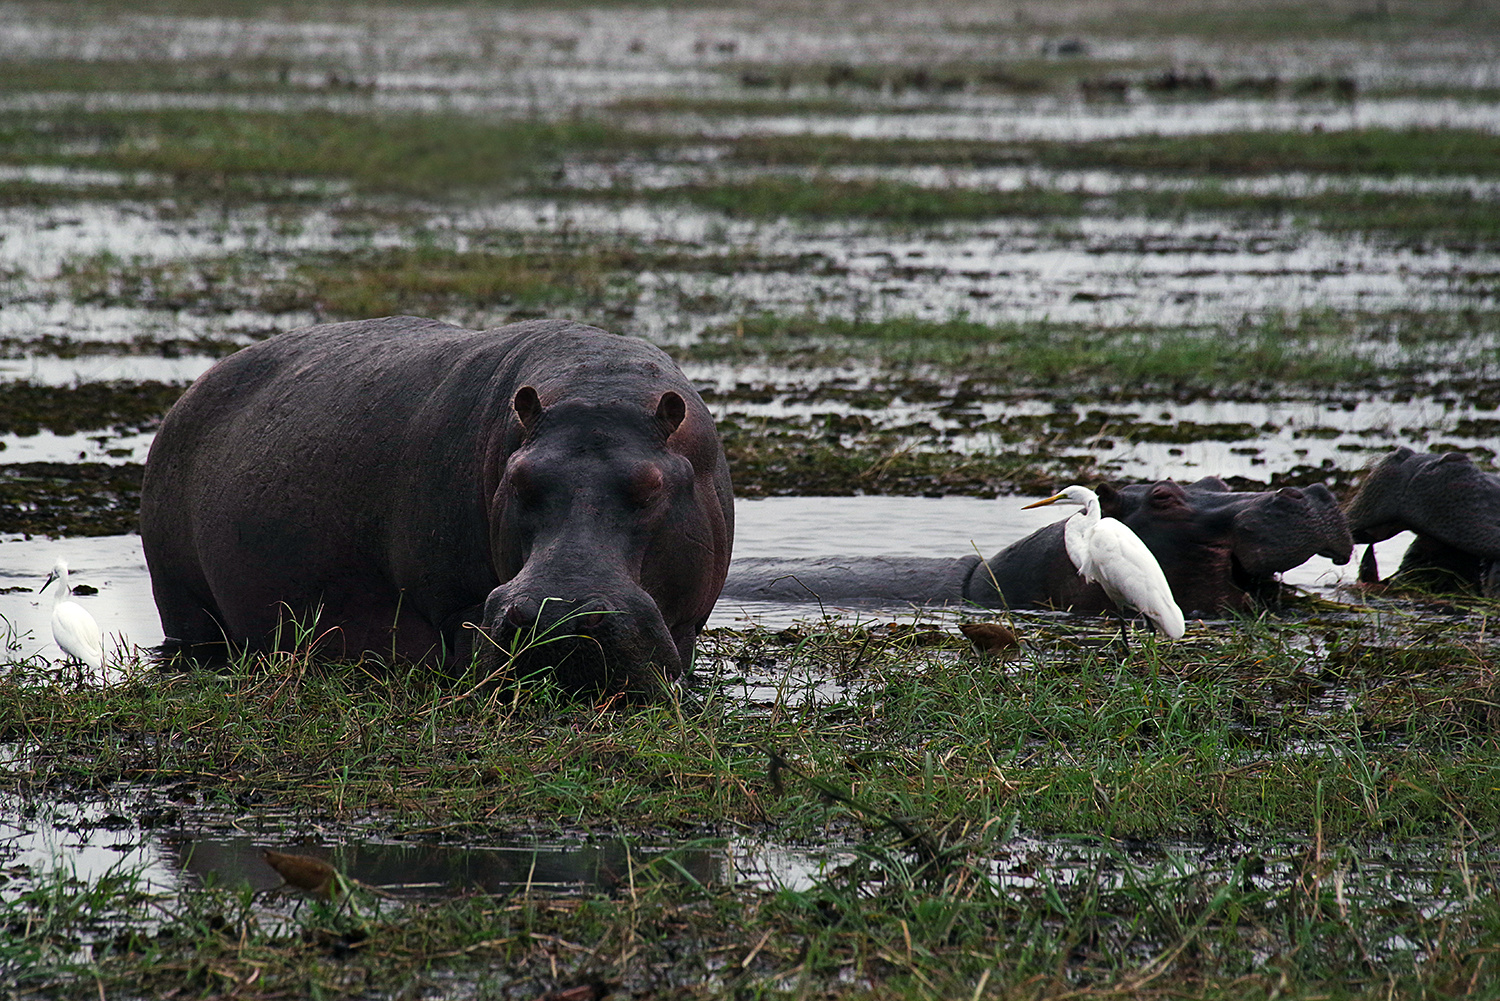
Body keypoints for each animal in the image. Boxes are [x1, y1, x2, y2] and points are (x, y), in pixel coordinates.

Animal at [138, 316, 735, 693]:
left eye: (651, 485)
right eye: (518, 479)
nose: (556, 615)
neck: (599, 389)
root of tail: (191, 391)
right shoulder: (458, 602)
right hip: (180, 593)